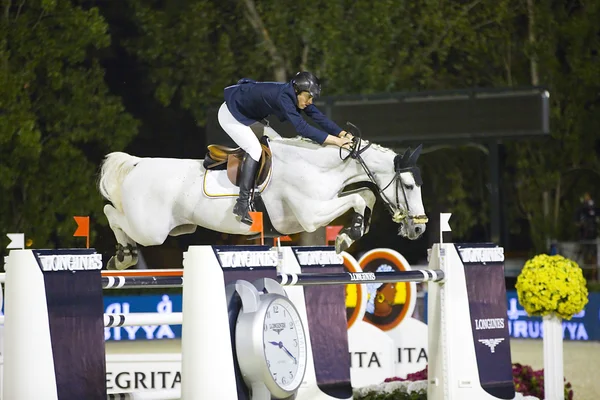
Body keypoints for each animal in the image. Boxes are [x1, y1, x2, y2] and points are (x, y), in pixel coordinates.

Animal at [97, 134, 426, 268]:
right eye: (409, 185)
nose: (420, 229)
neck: (318, 166)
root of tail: (137, 164)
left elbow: (364, 195)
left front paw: (353, 230)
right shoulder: (311, 215)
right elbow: (358, 197)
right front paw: (347, 236)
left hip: (178, 228)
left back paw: (123, 256)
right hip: (150, 230)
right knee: (111, 212)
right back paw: (123, 256)